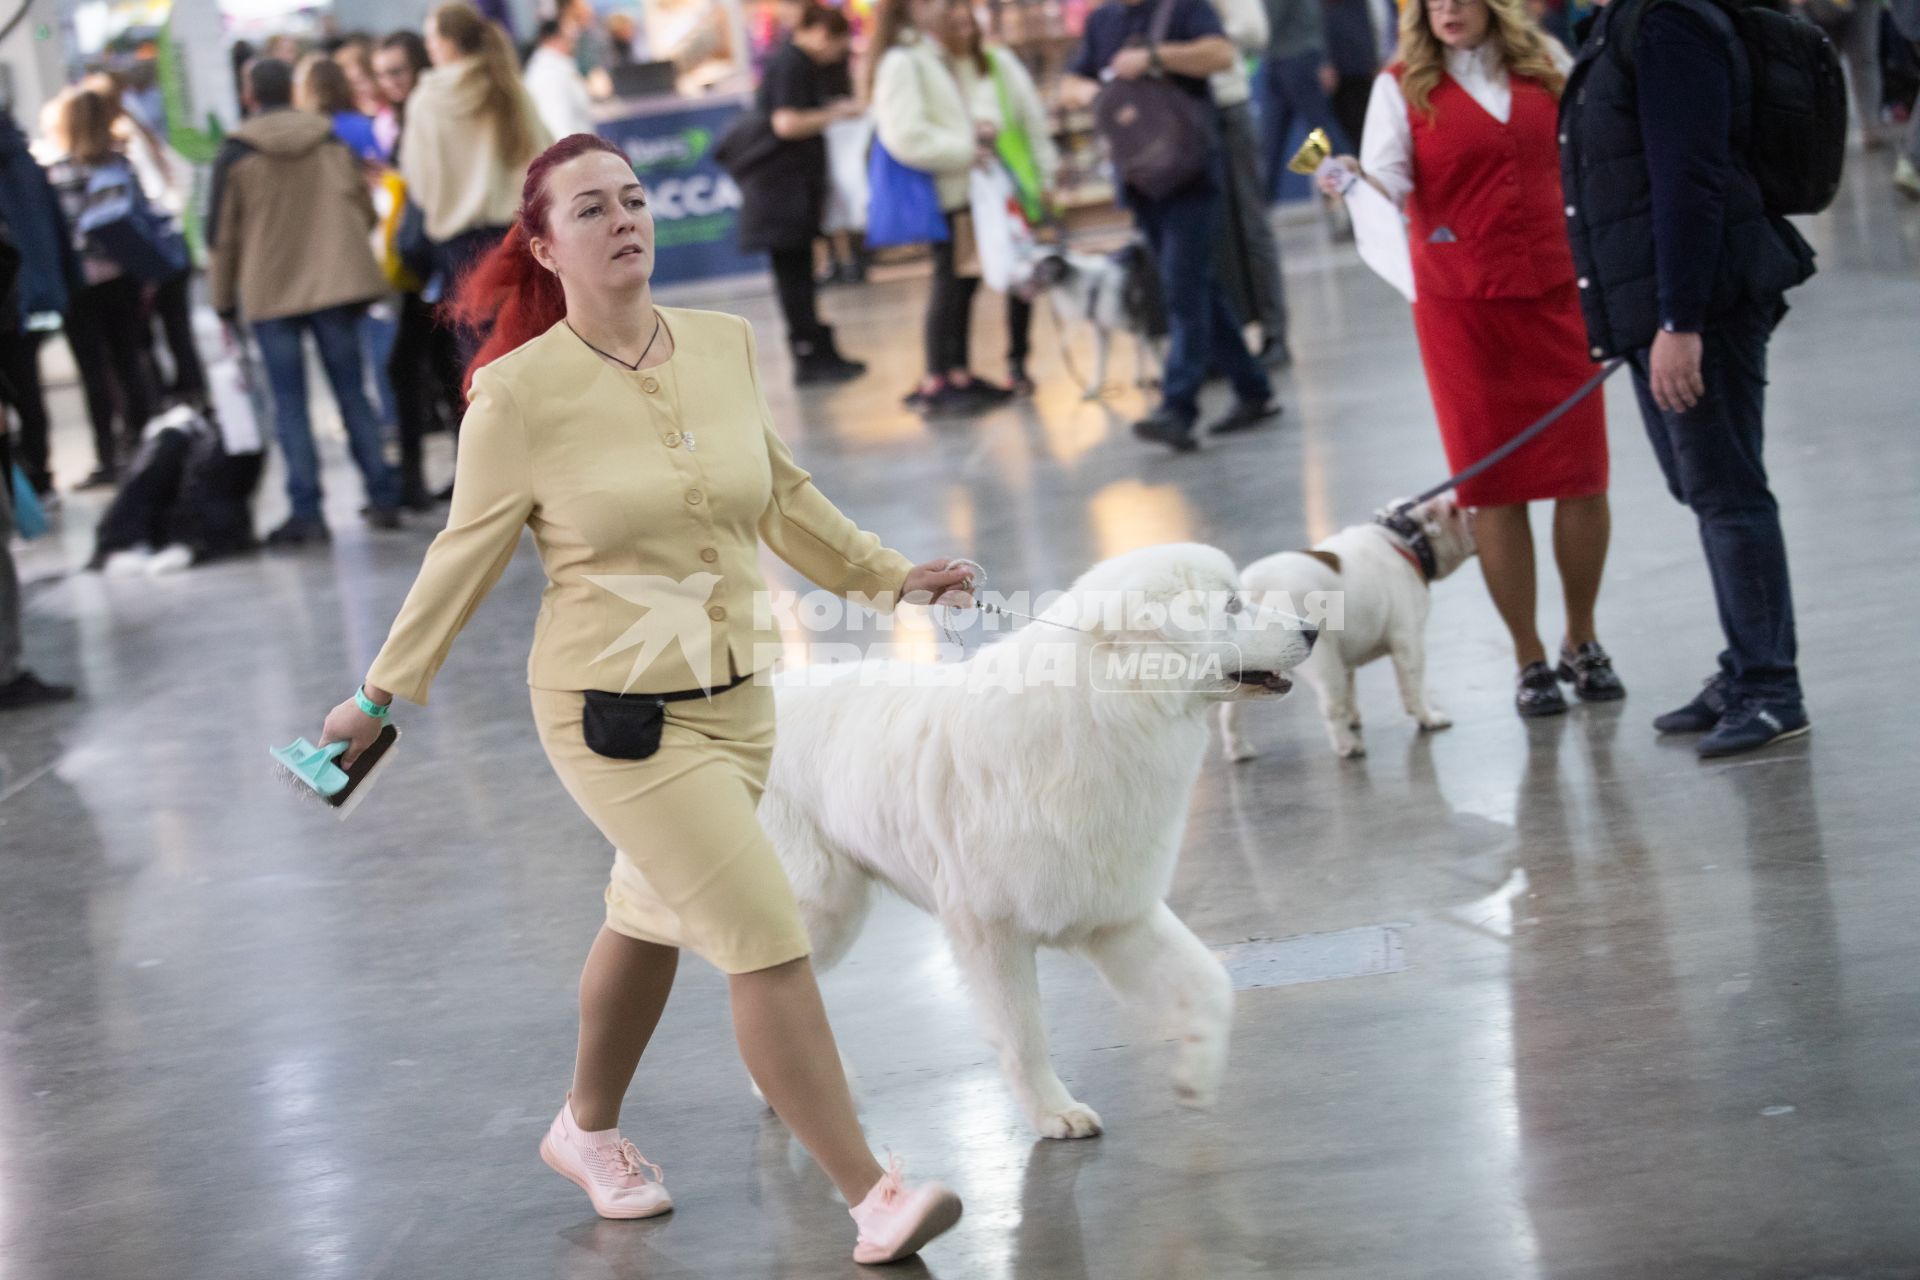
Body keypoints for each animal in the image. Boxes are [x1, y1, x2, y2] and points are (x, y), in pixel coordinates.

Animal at [756, 545, 1313, 1136]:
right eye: (1231, 606)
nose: (1314, 629)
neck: (1109, 707)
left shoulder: (1118, 912)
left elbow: (1211, 984)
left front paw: (1195, 1077)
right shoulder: (991, 931)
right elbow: (1024, 1036)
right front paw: (1054, 1113)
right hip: (820, 910)